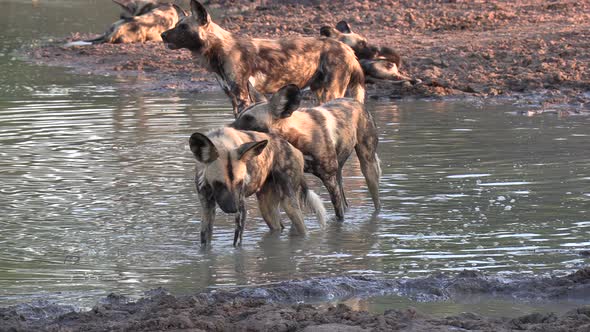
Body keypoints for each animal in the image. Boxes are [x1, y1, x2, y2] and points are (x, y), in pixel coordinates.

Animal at [161, 0, 366, 116]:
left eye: (184, 27)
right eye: (176, 25)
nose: (162, 35)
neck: (218, 50)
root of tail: (347, 48)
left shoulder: (243, 97)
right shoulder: (233, 98)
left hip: (332, 92)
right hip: (320, 92)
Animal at [191, 126, 326, 245]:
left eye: (239, 182)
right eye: (219, 183)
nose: (233, 209)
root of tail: (293, 148)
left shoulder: (242, 207)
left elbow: (237, 244)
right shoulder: (207, 207)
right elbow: (205, 241)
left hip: (289, 204)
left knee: (301, 228)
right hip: (266, 208)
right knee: (279, 227)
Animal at [234, 84, 382, 222]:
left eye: (249, 118)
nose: (229, 127)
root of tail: (354, 101)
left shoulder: (329, 179)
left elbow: (339, 216)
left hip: (368, 167)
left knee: (376, 202)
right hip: (339, 172)